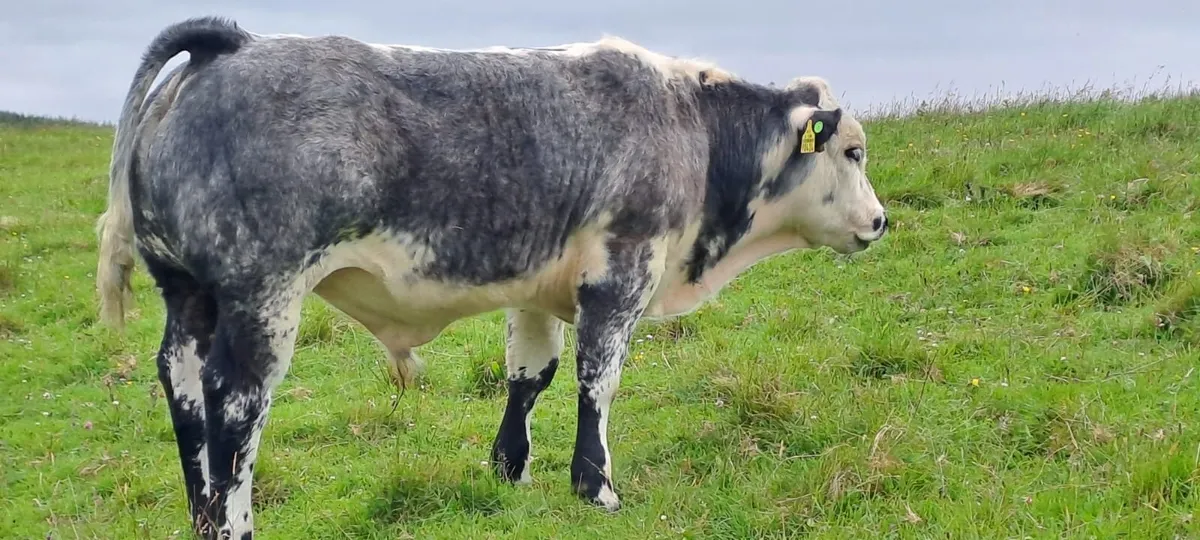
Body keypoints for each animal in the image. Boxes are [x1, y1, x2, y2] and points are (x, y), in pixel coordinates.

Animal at [95, 16, 888, 539]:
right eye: (852, 151)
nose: (881, 221)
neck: (688, 122)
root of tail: (230, 44)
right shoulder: (621, 271)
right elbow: (597, 380)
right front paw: (595, 486)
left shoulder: (536, 285)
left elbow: (530, 375)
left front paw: (511, 468)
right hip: (261, 297)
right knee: (235, 405)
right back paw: (231, 523)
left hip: (188, 295)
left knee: (183, 389)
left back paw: (200, 511)